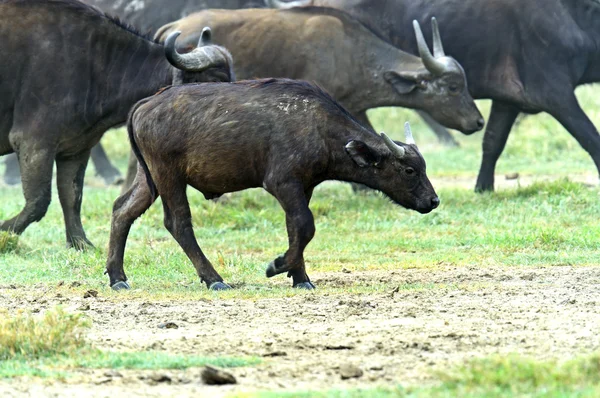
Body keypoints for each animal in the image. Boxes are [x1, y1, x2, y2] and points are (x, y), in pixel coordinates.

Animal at [0, 0, 233, 249]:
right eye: (213, 82)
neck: (96, 64)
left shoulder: (76, 148)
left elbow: (72, 196)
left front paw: (80, 242)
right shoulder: (34, 142)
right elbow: (39, 201)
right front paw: (5, 229)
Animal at [105, 78, 438, 290]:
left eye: (423, 167)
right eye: (409, 170)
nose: (433, 201)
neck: (319, 128)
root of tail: (146, 103)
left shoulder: (303, 187)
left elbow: (295, 227)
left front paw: (300, 277)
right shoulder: (282, 182)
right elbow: (305, 225)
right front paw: (278, 266)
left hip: (149, 178)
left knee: (122, 210)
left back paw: (117, 277)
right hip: (168, 176)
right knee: (178, 223)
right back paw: (214, 279)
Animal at [270, 0, 600, 193]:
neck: (574, 16)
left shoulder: (510, 99)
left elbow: (492, 141)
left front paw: (483, 188)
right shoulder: (556, 93)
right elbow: (591, 138)